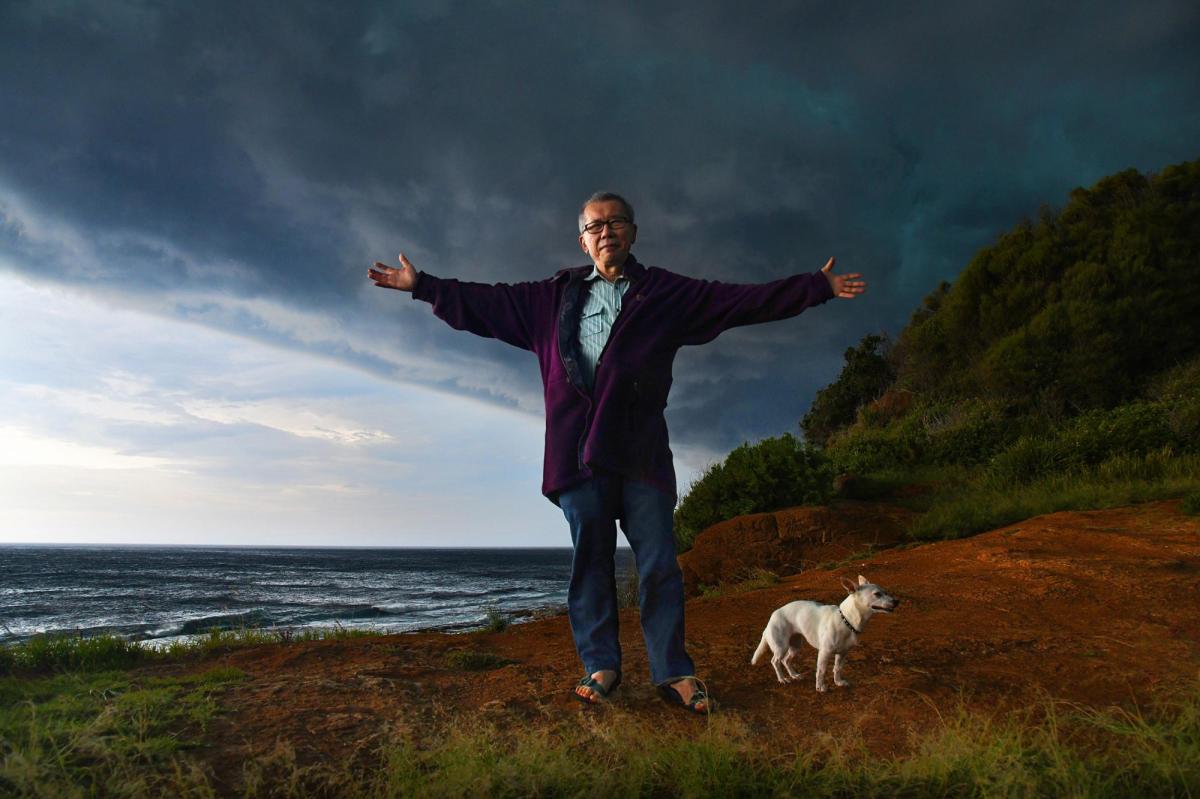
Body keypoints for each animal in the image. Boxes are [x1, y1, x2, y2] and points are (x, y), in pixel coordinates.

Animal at [753, 573, 897, 691]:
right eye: (877, 594)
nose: (897, 601)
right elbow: (821, 671)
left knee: (786, 660)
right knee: (775, 661)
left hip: (795, 646)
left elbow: (837, 669)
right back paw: (782, 679)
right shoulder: (824, 653)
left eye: (885, 592)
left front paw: (838, 682)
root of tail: (772, 617)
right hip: (780, 647)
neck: (846, 620)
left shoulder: (842, 653)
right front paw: (820, 687)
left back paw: (794, 675)